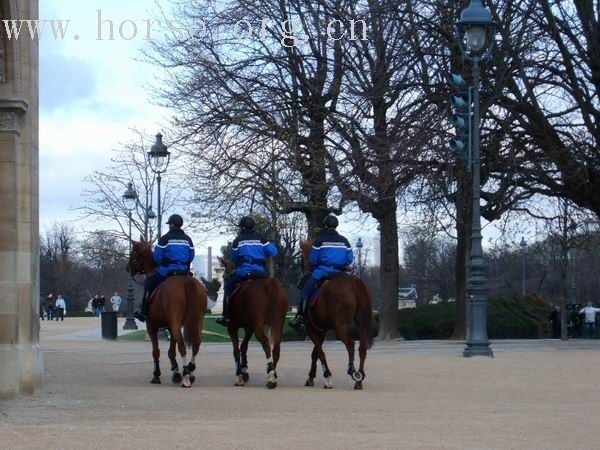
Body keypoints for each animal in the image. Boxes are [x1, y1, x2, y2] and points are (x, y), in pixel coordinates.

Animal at [127, 241, 207, 388]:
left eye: (133, 252)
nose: (127, 268)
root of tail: (186, 281)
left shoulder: (151, 325)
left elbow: (156, 352)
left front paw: (157, 375)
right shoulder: (171, 326)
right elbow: (171, 351)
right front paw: (175, 372)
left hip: (175, 323)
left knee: (182, 346)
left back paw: (186, 376)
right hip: (197, 321)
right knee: (196, 344)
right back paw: (190, 370)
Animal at [219, 258, 290, 388]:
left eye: (224, 276)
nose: (224, 283)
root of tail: (270, 284)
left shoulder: (232, 327)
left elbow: (236, 350)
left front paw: (239, 376)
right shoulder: (249, 327)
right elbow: (243, 346)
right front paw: (244, 371)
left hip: (258, 327)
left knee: (266, 343)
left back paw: (271, 376)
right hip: (278, 324)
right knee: (276, 347)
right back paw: (273, 373)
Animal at [298, 239, 372, 390]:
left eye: (301, 259)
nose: (299, 280)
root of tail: (353, 282)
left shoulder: (312, 329)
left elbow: (319, 352)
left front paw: (327, 376)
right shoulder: (321, 330)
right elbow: (315, 353)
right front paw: (311, 377)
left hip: (340, 326)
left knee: (350, 344)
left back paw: (352, 370)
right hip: (360, 323)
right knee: (362, 347)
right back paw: (359, 378)